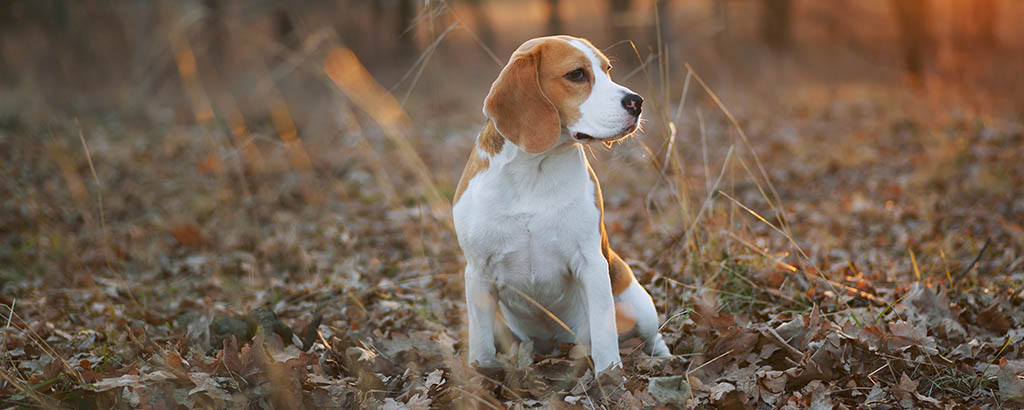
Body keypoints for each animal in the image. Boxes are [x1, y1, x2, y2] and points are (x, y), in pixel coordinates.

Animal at [452, 36, 667, 373]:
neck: (533, 170)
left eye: (608, 69)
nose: (637, 102)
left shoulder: (591, 264)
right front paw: (483, 374)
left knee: (653, 337)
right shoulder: (477, 274)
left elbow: (605, 339)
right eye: (576, 74)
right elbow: (481, 346)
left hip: (638, 305)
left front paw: (610, 376)